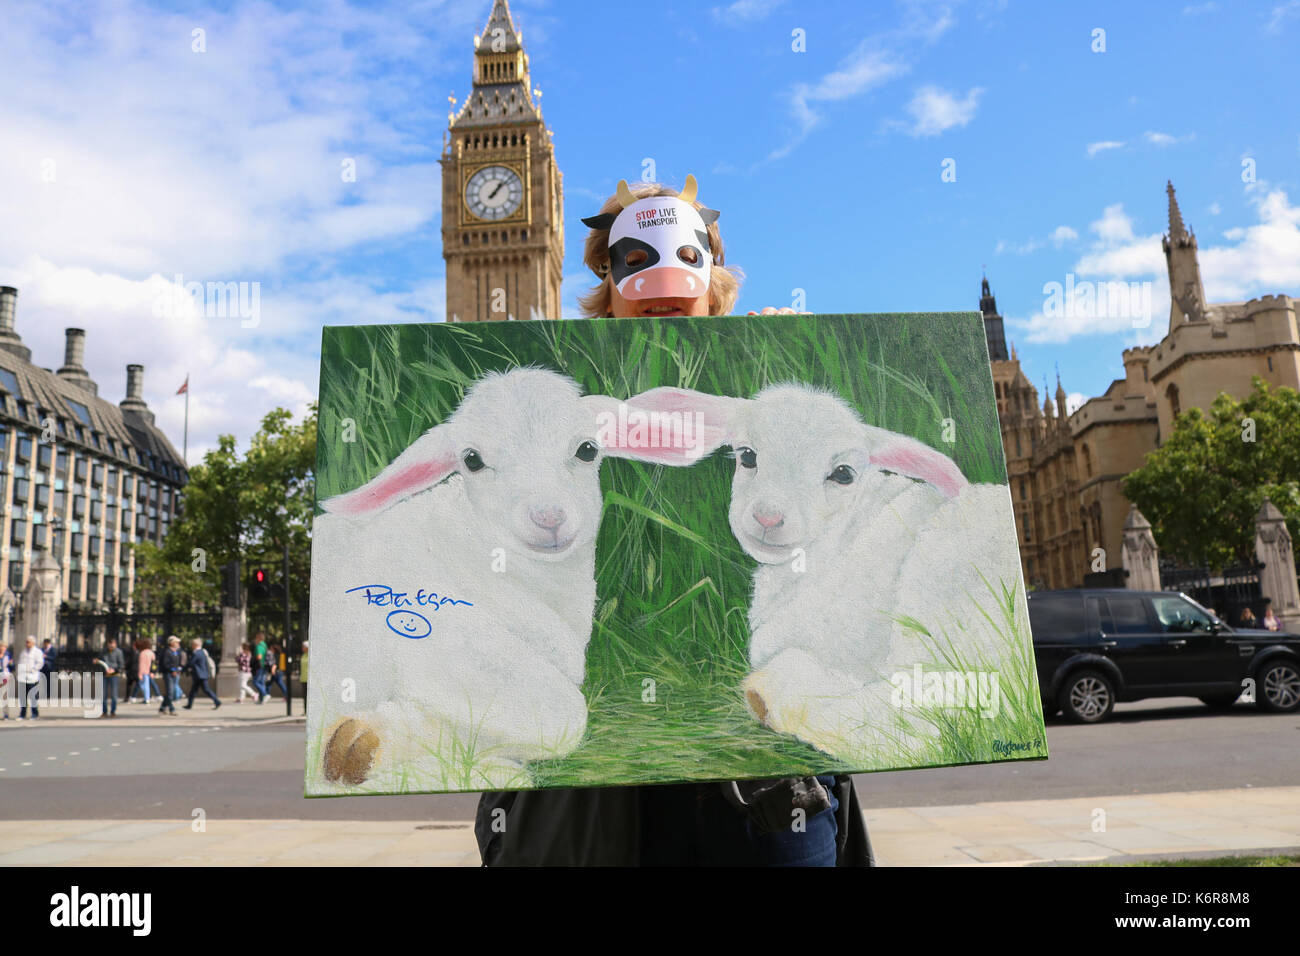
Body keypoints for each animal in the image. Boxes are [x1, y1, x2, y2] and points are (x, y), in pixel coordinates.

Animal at [305, 366, 681, 790]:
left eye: (587, 449)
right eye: (472, 460)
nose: (548, 516)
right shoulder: (441, 643)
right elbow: (565, 717)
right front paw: (373, 743)